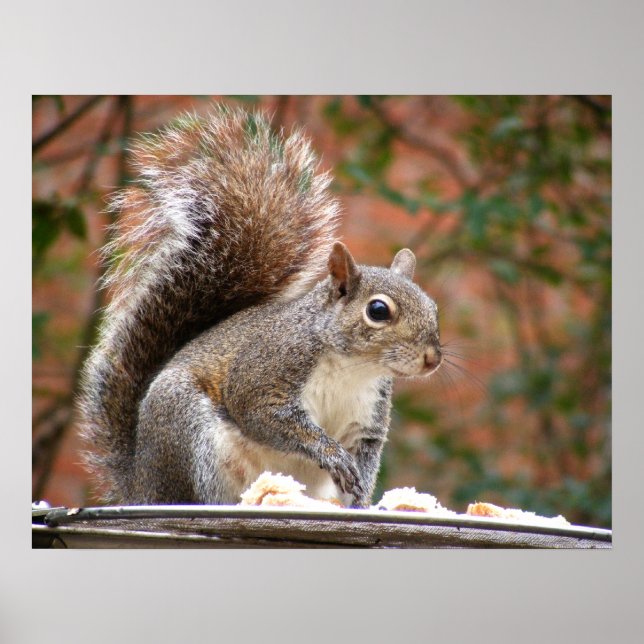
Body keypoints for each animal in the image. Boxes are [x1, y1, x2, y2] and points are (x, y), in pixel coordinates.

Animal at [79, 105, 443, 508]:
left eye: (433, 307)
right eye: (378, 311)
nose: (432, 358)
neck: (353, 368)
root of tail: (141, 486)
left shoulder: (367, 419)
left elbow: (364, 464)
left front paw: (363, 501)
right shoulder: (266, 369)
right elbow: (260, 413)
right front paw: (329, 453)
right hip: (183, 425)